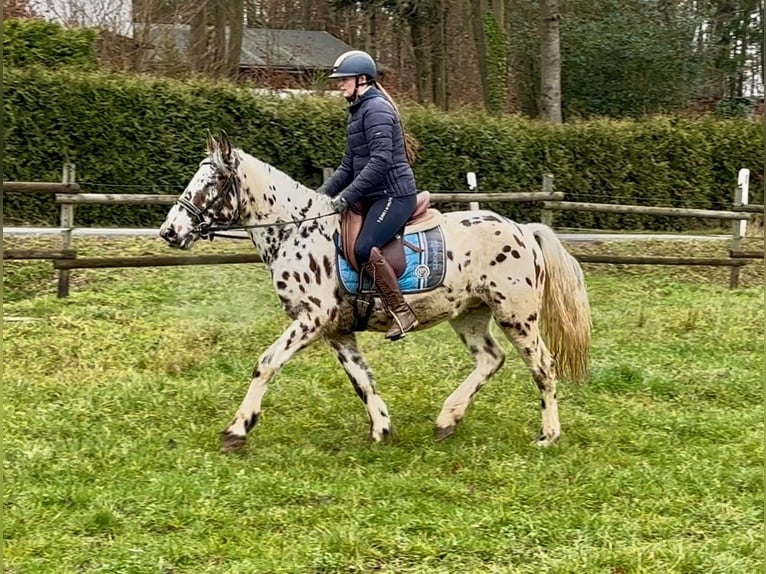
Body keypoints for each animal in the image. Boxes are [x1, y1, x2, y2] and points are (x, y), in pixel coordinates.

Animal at [160, 134, 592, 454]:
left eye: (211, 183)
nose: (170, 232)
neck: (296, 230)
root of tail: (523, 230)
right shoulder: (335, 330)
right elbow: (361, 379)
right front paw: (382, 429)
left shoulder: (311, 319)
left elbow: (266, 363)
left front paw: (237, 429)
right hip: (469, 313)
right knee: (490, 359)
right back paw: (447, 419)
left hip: (516, 315)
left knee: (543, 367)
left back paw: (547, 436)